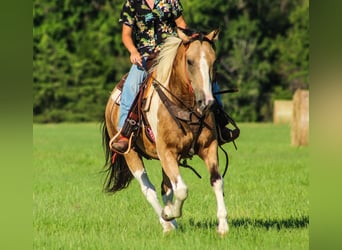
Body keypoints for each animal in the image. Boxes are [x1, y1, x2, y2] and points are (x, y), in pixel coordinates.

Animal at [101, 28, 230, 235]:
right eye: (190, 61)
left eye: (214, 61)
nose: (208, 102)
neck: (185, 106)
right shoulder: (166, 151)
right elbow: (182, 189)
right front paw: (169, 214)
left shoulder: (208, 147)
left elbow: (216, 182)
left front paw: (223, 225)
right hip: (131, 153)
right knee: (149, 189)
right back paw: (167, 223)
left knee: (165, 188)